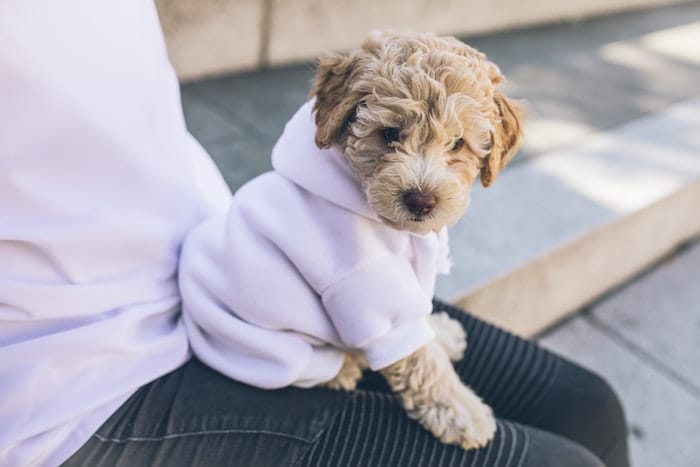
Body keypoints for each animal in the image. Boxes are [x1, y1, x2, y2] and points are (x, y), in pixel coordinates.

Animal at [178, 31, 524, 452]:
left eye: (457, 143)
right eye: (390, 134)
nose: (421, 200)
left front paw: (441, 333)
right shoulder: (363, 286)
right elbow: (420, 361)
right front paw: (463, 412)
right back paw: (346, 365)